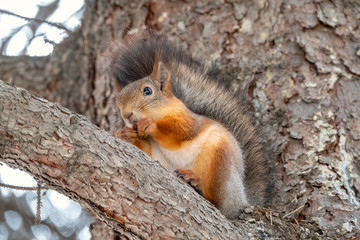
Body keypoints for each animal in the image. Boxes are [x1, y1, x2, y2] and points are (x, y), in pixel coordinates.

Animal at [110, 34, 272, 219]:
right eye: (118, 102)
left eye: (147, 91)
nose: (127, 115)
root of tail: (243, 198)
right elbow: (145, 149)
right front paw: (126, 135)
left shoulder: (189, 120)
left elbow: (180, 132)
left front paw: (150, 124)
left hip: (221, 162)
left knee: (220, 202)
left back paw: (196, 183)